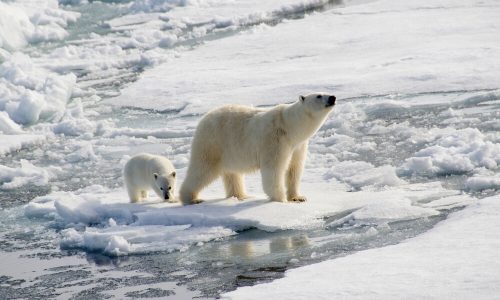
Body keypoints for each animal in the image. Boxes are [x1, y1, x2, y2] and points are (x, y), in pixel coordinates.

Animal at [180, 92, 336, 205]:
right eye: (319, 95)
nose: (333, 97)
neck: (290, 127)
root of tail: (203, 119)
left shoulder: (298, 145)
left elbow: (294, 169)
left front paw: (298, 197)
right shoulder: (275, 141)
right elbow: (273, 170)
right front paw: (281, 199)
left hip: (229, 150)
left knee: (232, 173)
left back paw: (241, 195)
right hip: (212, 143)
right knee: (202, 169)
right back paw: (192, 198)